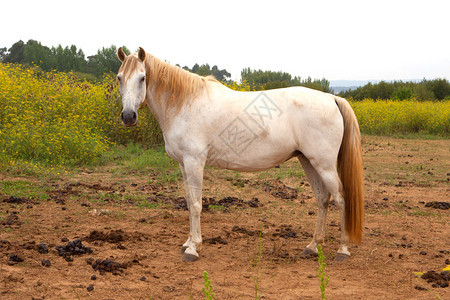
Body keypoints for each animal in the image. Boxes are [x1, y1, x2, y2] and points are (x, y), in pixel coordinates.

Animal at [117, 47, 366, 262]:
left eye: (142, 77)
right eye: (119, 78)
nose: (128, 116)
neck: (186, 104)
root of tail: (332, 98)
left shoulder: (195, 162)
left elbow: (196, 204)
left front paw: (193, 249)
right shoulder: (183, 164)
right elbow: (189, 201)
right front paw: (188, 242)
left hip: (324, 164)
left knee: (341, 199)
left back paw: (343, 250)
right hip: (308, 161)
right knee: (323, 199)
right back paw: (312, 246)